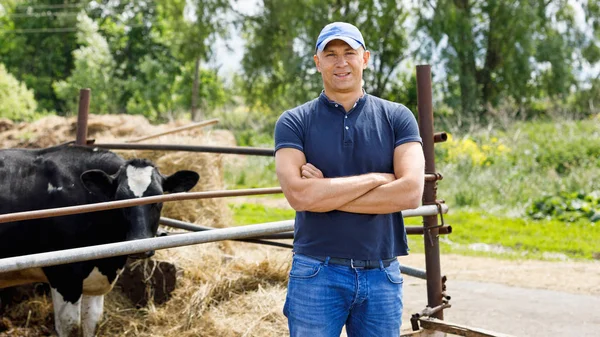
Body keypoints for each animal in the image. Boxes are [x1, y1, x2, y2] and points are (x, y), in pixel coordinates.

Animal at [0, 144, 202, 336]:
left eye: (159, 199)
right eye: (119, 199)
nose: (139, 244)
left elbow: (93, 324)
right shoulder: (64, 276)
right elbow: (71, 328)